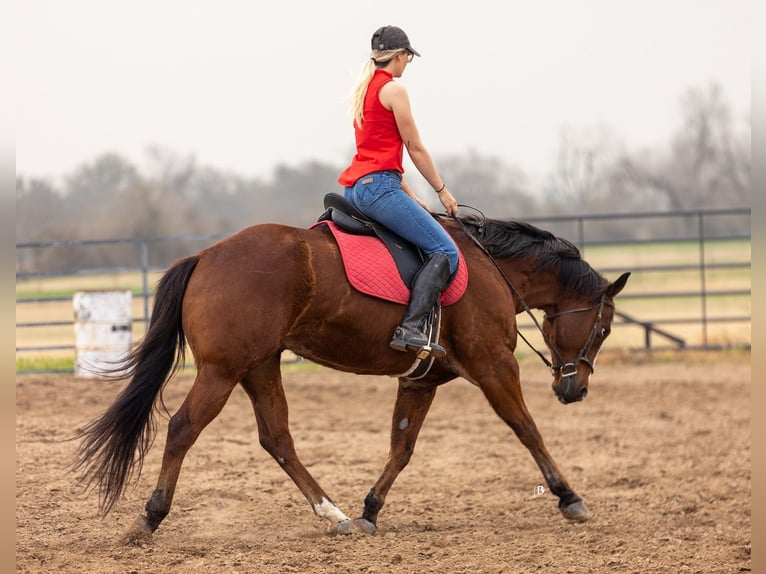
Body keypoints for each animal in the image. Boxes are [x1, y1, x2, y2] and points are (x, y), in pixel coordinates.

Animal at [74, 211, 629, 544]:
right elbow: (527, 429)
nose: (575, 389)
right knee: (183, 428)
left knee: (277, 438)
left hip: (259, 366)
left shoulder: (421, 381)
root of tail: (205, 256)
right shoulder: (494, 367)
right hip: (223, 371)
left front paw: (369, 510)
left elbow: (401, 448)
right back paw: (150, 516)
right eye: (603, 328)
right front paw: (569, 497)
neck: (493, 269)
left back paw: (333, 514)